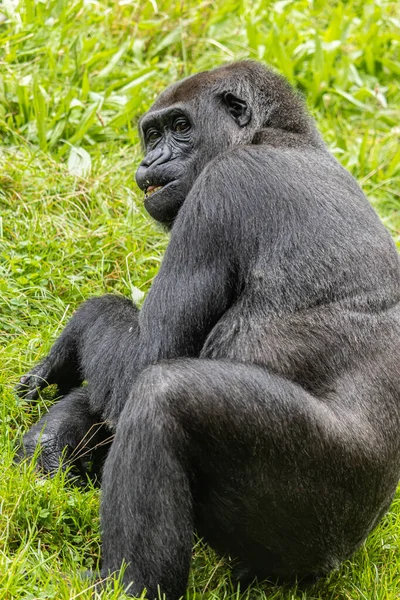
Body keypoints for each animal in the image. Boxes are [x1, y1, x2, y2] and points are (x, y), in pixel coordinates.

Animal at [16, 62, 400, 600]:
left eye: (180, 127)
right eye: (152, 134)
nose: (151, 158)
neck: (280, 135)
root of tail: (345, 557)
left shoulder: (222, 188)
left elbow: (141, 362)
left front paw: (75, 333)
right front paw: (49, 447)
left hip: (316, 520)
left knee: (163, 396)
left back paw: (130, 583)